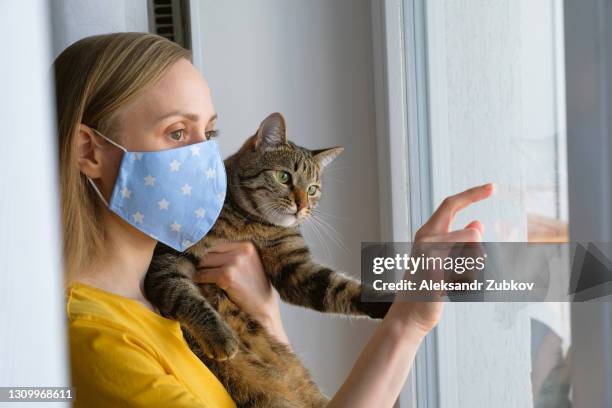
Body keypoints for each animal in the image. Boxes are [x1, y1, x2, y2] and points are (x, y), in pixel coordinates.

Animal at [144, 112, 392, 408]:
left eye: (312, 189)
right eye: (283, 176)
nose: (302, 206)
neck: (251, 223)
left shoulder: (295, 269)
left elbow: (340, 288)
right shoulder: (167, 259)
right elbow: (185, 294)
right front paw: (221, 337)